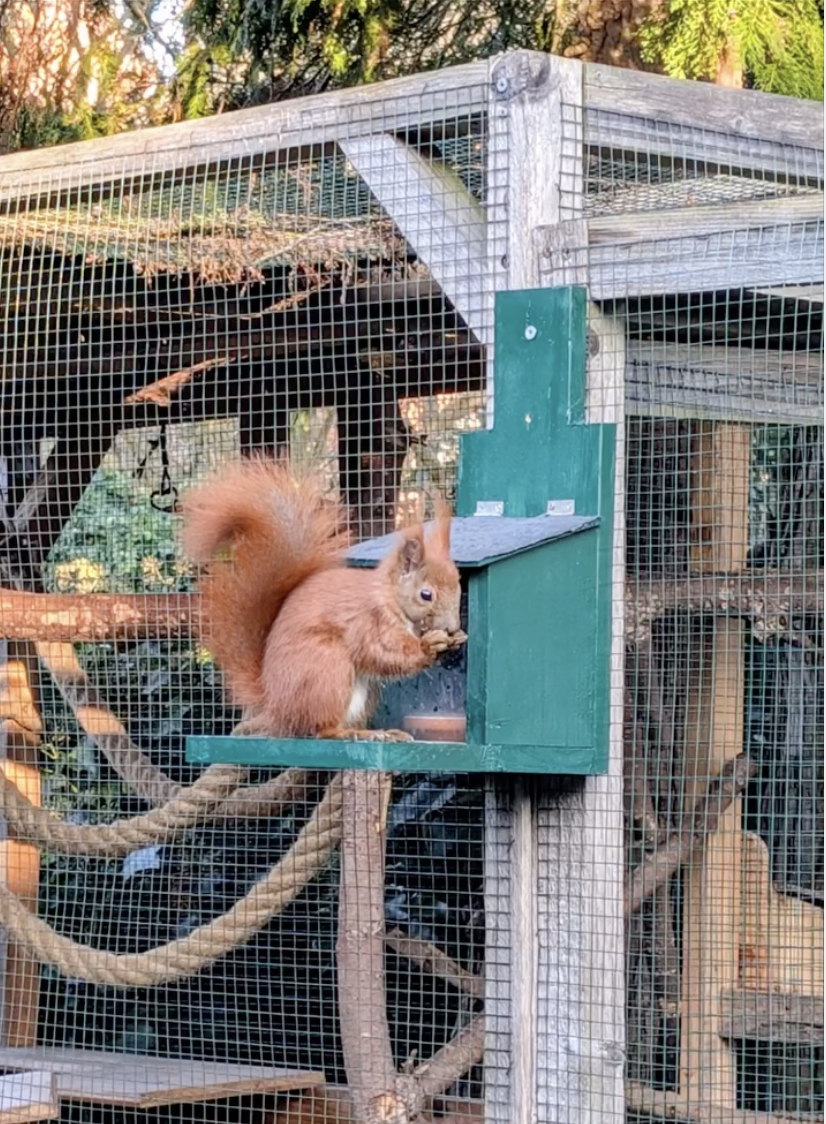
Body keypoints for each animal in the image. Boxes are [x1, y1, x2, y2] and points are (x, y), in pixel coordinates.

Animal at [180, 457, 467, 743]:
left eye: (459, 587)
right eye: (426, 594)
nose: (452, 627)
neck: (390, 598)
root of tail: (276, 707)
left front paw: (456, 638)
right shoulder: (368, 621)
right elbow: (381, 653)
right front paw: (429, 645)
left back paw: (379, 732)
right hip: (328, 668)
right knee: (320, 729)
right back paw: (357, 733)